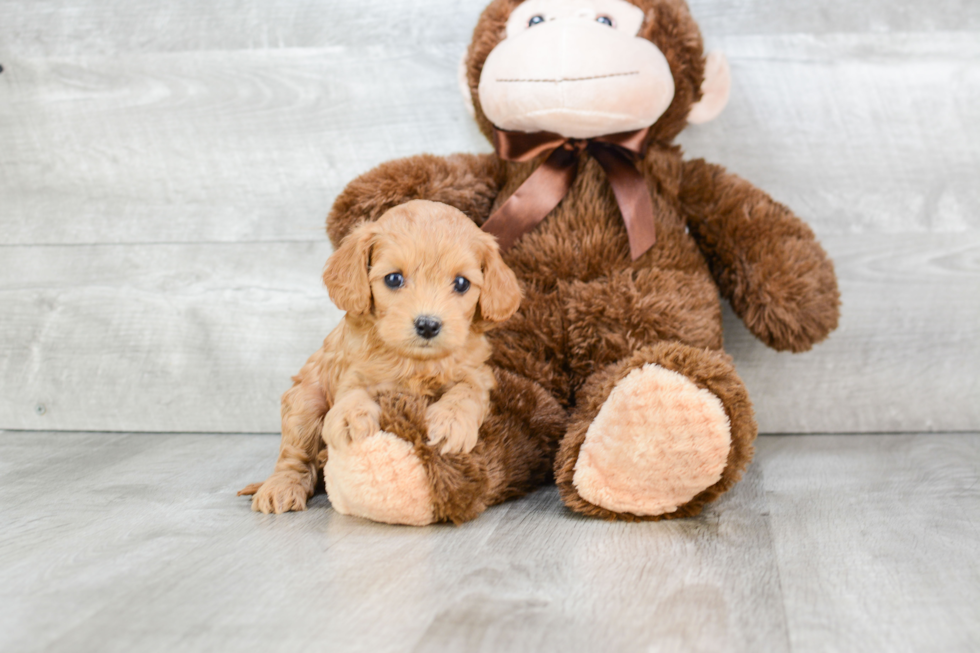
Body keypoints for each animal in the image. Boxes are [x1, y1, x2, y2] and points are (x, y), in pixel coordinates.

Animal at [238, 200, 524, 516]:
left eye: (462, 283)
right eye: (394, 278)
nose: (428, 325)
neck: (414, 361)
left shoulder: (477, 372)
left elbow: (466, 391)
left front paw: (451, 422)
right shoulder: (355, 370)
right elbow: (352, 392)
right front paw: (351, 418)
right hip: (304, 401)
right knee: (294, 454)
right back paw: (281, 487)